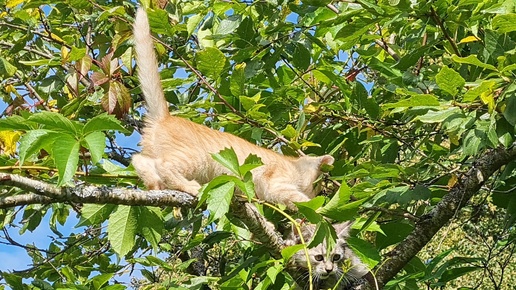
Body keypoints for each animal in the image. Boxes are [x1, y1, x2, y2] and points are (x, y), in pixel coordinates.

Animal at [131, 8, 334, 208]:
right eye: (317, 186)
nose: (320, 193)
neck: (294, 165)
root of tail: (165, 117)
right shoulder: (275, 183)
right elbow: (300, 200)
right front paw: (320, 209)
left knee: (139, 160)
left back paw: (154, 184)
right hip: (195, 158)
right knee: (164, 166)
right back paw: (189, 187)